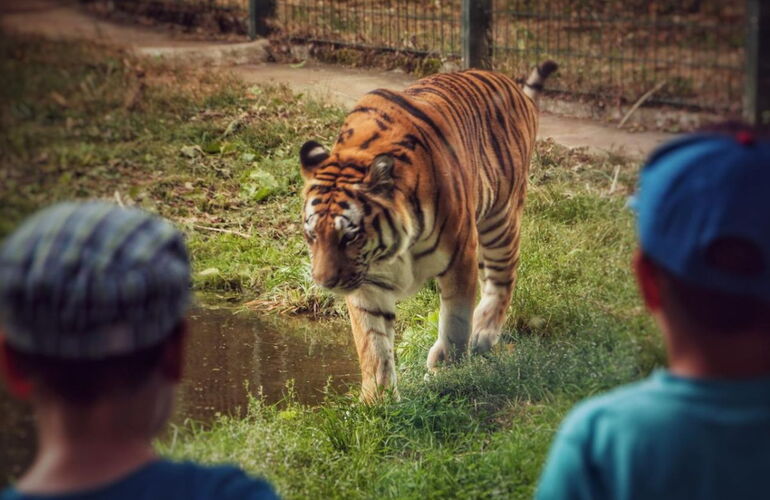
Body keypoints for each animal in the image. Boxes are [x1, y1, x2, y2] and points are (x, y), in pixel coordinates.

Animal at [299, 61, 557, 401]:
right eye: (312, 235)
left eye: (350, 236)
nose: (324, 282)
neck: (391, 248)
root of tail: (513, 86)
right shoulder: (367, 281)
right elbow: (373, 342)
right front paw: (377, 401)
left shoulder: (460, 256)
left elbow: (455, 324)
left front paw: (447, 373)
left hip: (499, 219)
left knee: (503, 278)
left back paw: (483, 333)